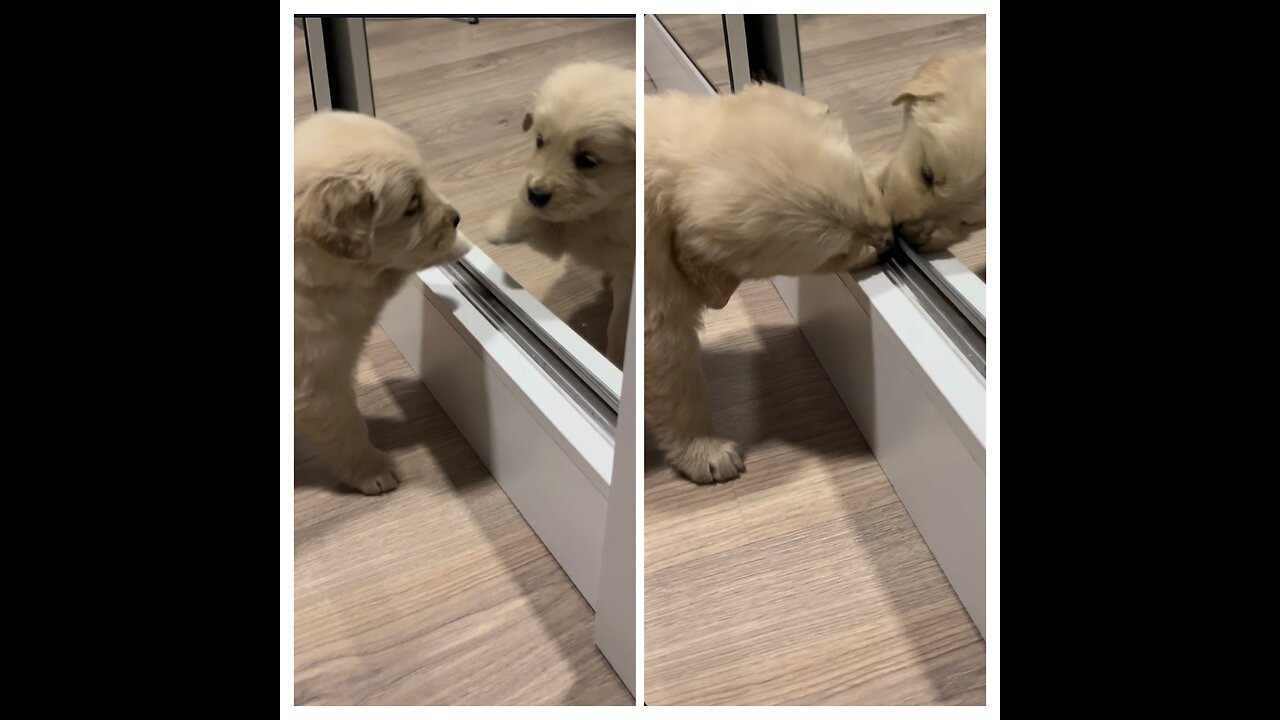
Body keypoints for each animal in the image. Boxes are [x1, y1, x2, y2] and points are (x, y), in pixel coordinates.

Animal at [294, 110, 471, 491]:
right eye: (411, 206)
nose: (456, 217)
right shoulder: (318, 380)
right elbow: (345, 428)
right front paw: (372, 471)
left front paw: (463, 244)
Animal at [483, 60, 634, 363]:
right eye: (540, 141)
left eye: (587, 160)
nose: (536, 194)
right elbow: (533, 217)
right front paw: (500, 227)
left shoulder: (627, 268)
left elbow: (620, 322)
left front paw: (615, 358)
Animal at [650, 83, 890, 481]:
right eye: (838, 254)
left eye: (863, 195)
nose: (891, 242)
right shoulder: (658, 312)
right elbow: (677, 383)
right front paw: (706, 453)